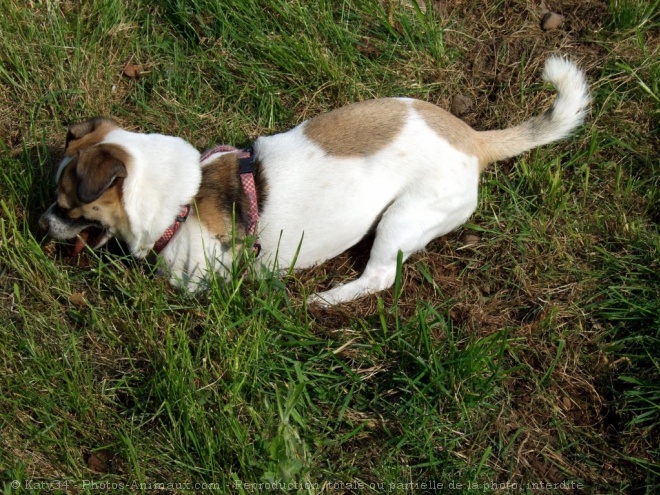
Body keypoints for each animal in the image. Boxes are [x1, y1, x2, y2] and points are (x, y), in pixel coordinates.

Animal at [38, 58, 592, 306]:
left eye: (68, 206)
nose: (40, 224)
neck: (184, 196)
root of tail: (475, 141)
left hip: (406, 217)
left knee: (380, 276)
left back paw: (324, 300)